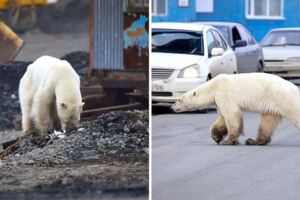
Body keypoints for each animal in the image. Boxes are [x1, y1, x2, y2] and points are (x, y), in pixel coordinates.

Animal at [172, 73, 300, 145]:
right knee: (267, 122)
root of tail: (295, 87)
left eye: (179, 100)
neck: (213, 86)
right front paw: (217, 137)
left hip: (284, 98)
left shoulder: (223, 92)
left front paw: (228, 141)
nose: (172, 107)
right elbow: (222, 119)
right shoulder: (218, 100)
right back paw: (253, 141)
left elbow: (232, 114)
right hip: (273, 104)